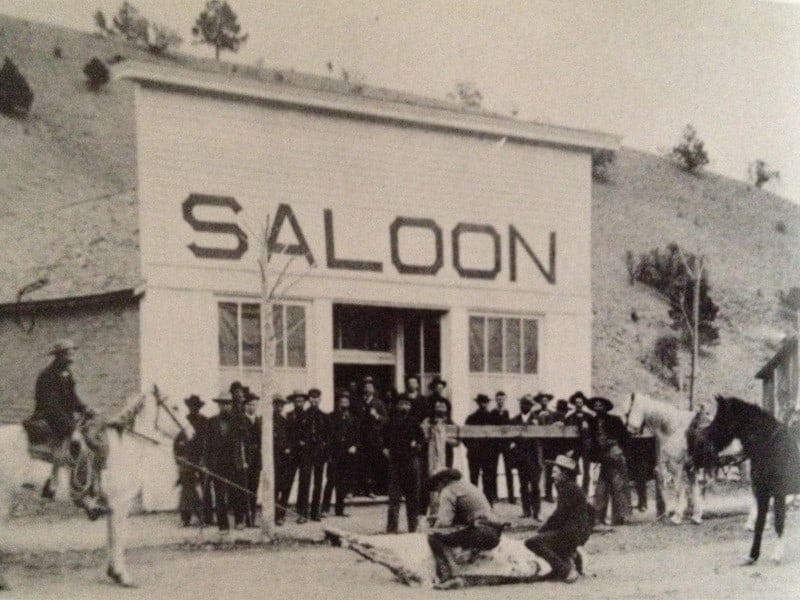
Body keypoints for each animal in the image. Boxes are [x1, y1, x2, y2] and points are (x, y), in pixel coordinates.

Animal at [0, 394, 164, 592]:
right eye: (176, 407)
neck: (124, 446)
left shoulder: (113, 507)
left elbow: (111, 537)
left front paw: (113, 574)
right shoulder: (120, 504)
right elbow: (118, 538)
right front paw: (123, 577)